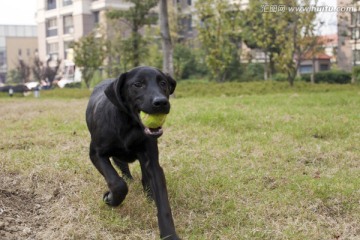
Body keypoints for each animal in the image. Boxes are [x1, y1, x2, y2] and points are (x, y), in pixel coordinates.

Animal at [84, 65, 180, 238]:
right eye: (138, 84)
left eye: (163, 83)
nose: (161, 102)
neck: (128, 124)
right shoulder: (96, 153)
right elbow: (117, 183)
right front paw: (111, 199)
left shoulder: (152, 162)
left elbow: (163, 202)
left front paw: (169, 234)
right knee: (122, 168)